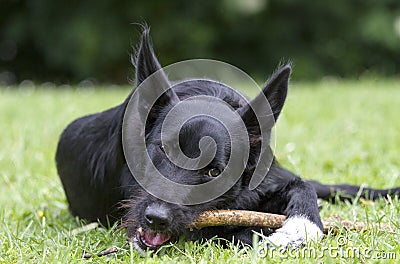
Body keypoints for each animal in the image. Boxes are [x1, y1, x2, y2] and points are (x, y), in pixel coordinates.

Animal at [54, 27, 398, 253]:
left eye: (214, 172)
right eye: (159, 151)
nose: (156, 219)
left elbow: (304, 188)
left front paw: (299, 228)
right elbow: (232, 231)